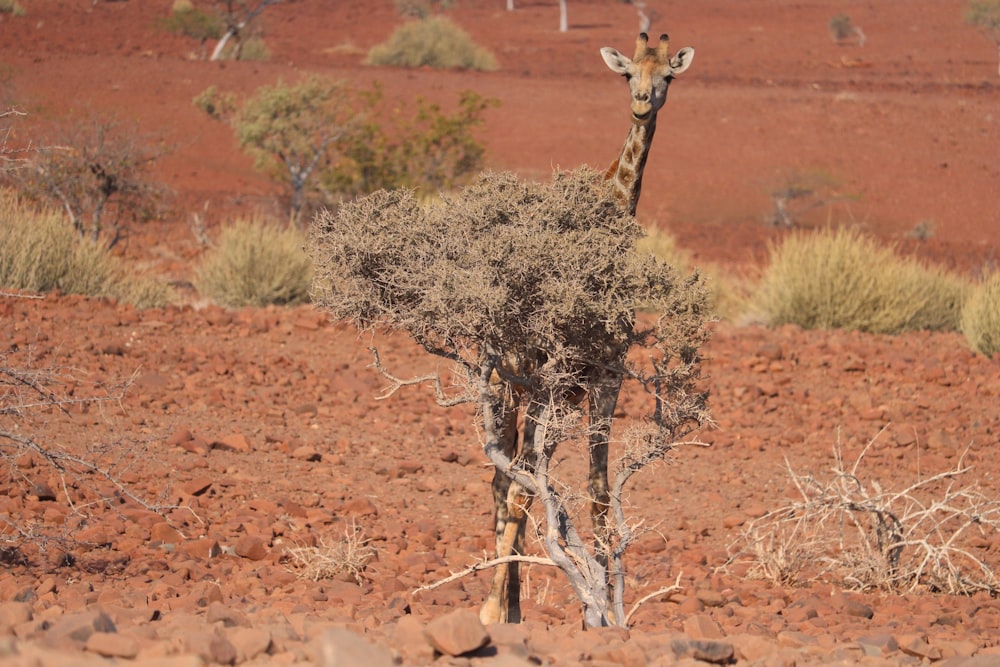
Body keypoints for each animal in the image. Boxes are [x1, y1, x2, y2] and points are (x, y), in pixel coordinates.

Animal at [478, 31, 696, 628]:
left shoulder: (607, 380)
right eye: (626, 74)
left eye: (668, 75)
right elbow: (527, 490)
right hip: (512, 387)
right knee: (507, 480)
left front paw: (599, 616)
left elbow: (598, 491)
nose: (641, 103)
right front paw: (489, 613)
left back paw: (515, 608)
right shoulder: (554, 381)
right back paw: (498, 608)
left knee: (515, 479)